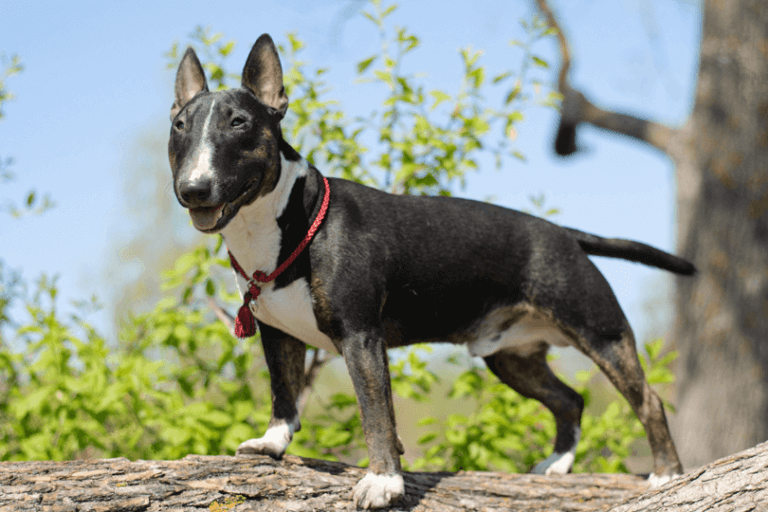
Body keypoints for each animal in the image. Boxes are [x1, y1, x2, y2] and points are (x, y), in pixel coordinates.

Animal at [171, 34, 692, 510]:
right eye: (179, 125)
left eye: (239, 122)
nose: (193, 189)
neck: (284, 225)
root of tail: (564, 233)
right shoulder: (278, 334)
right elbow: (284, 394)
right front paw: (272, 442)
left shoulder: (361, 335)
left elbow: (376, 413)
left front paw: (383, 482)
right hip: (512, 356)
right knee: (570, 400)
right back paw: (558, 464)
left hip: (600, 332)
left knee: (648, 400)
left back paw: (667, 474)